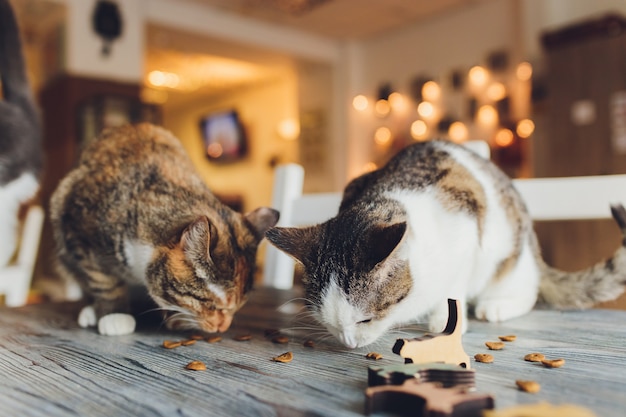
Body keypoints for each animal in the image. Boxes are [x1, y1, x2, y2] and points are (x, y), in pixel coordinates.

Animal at [52, 123, 276, 334]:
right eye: (209, 303)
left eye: (239, 307)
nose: (224, 328)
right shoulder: (78, 228)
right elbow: (103, 281)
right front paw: (114, 315)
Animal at [264, 140, 624, 348]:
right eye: (328, 323)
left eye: (365, 320)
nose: (348, 344)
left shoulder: (468, 233)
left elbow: (455, 284)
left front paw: (446, 319)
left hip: (510, 256)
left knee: (527, 290)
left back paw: (496, 305)